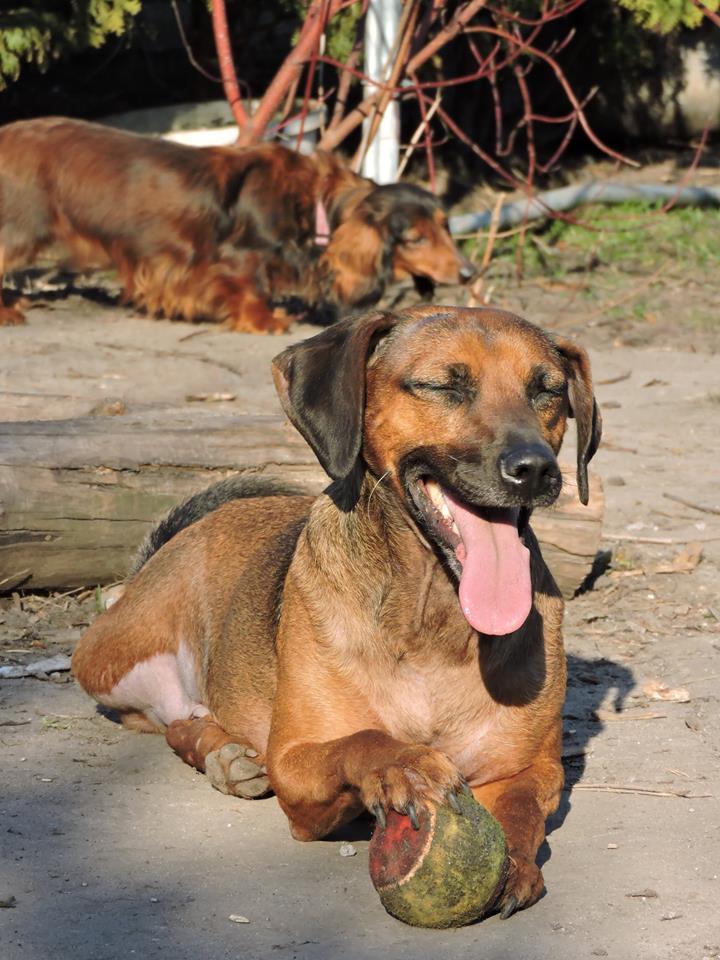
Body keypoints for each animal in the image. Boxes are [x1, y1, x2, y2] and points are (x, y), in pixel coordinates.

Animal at [0, 116, 476, 332]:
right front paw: (265, 319)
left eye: (446, 227)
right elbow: (250, 288)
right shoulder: (239, 257)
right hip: (20, 232)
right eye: (415, 238)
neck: (312, 202)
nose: (470, 273)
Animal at [74, 306, 600, 916]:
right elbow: (362, 741)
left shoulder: (530, 768)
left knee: (182, 721)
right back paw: (223, 754)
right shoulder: (296, 764)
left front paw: (514, 863)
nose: (535, 469)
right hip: (118, 663)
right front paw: (406, 764)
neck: (432, 620)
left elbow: (520, 809)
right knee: (170, 718)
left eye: (549, 390)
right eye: (443, 386)